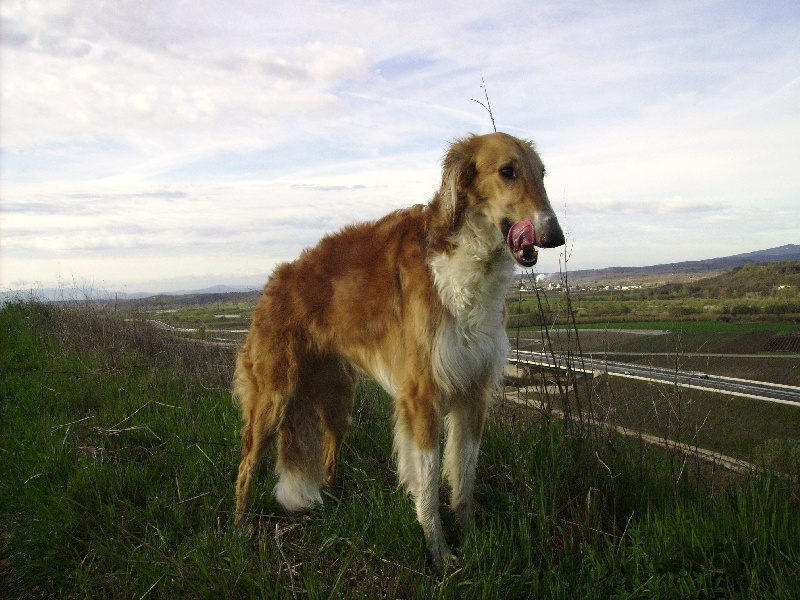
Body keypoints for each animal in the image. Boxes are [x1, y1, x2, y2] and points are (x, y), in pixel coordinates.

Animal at [234, 131, 564, 568]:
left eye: (542, 173)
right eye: (507, 171)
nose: (555, 235)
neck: (466, 261)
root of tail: (275, 280)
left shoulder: (474, 392)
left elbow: (463, 478)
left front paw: (473, 540)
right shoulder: (422, 396)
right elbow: (428, 483)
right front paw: (439, 553)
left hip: (338, 398)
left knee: (329, 457)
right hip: (273, 396)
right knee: (247, 465)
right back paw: (239, 529)